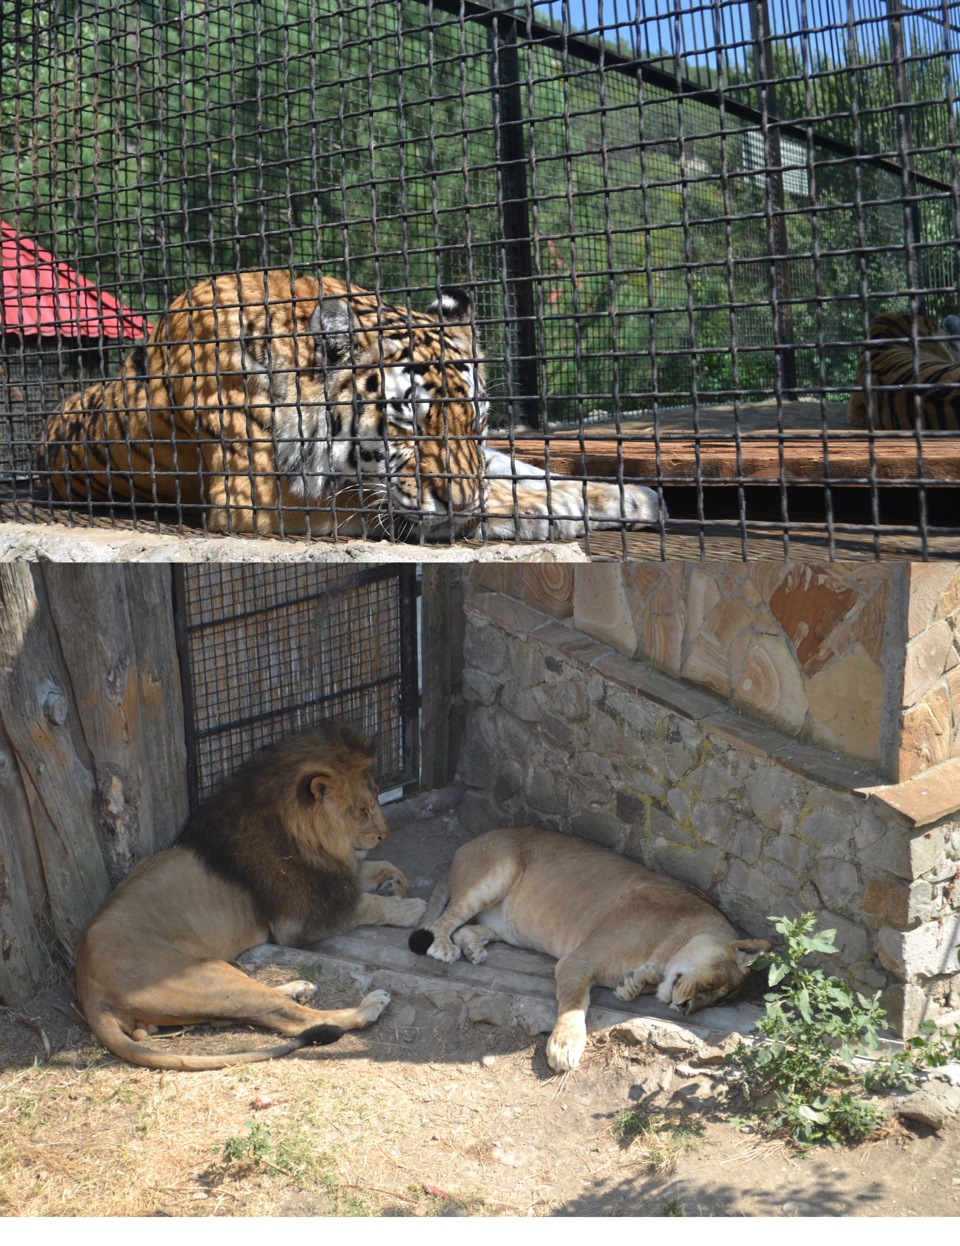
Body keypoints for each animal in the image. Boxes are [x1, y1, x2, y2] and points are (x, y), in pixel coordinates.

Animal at [39, 270, 668, 543]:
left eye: (478, 422)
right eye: (407, 420)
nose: (462, 505)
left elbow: (519, 470)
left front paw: (630, 497)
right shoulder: (258, 500)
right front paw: (543, 511)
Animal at [71, 727, 423, 1071]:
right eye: (363, 810)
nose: (385, 834)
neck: (307, 838)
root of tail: (88, 988)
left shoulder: (329, 875)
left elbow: (379, 867)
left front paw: (397, 884)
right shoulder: (299, 922)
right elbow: (367, 904)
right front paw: (410, 908)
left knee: (246, 1014)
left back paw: (298, 988)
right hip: (208, 977)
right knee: (293, 1020)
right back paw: (367, 1007)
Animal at [408, 827, 768, 1071]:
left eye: (717, 1002)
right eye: (714, 985)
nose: (687, 1009)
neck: (674, 941)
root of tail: (466, 845)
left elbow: (641, 982)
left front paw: (633, 984)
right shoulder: (578, 961)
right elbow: (574, 1003)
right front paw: (565, 1044)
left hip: (507, 927)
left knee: (466, 929)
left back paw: (473, 949)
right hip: (498, 870)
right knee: (443, 921)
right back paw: (443, 947)